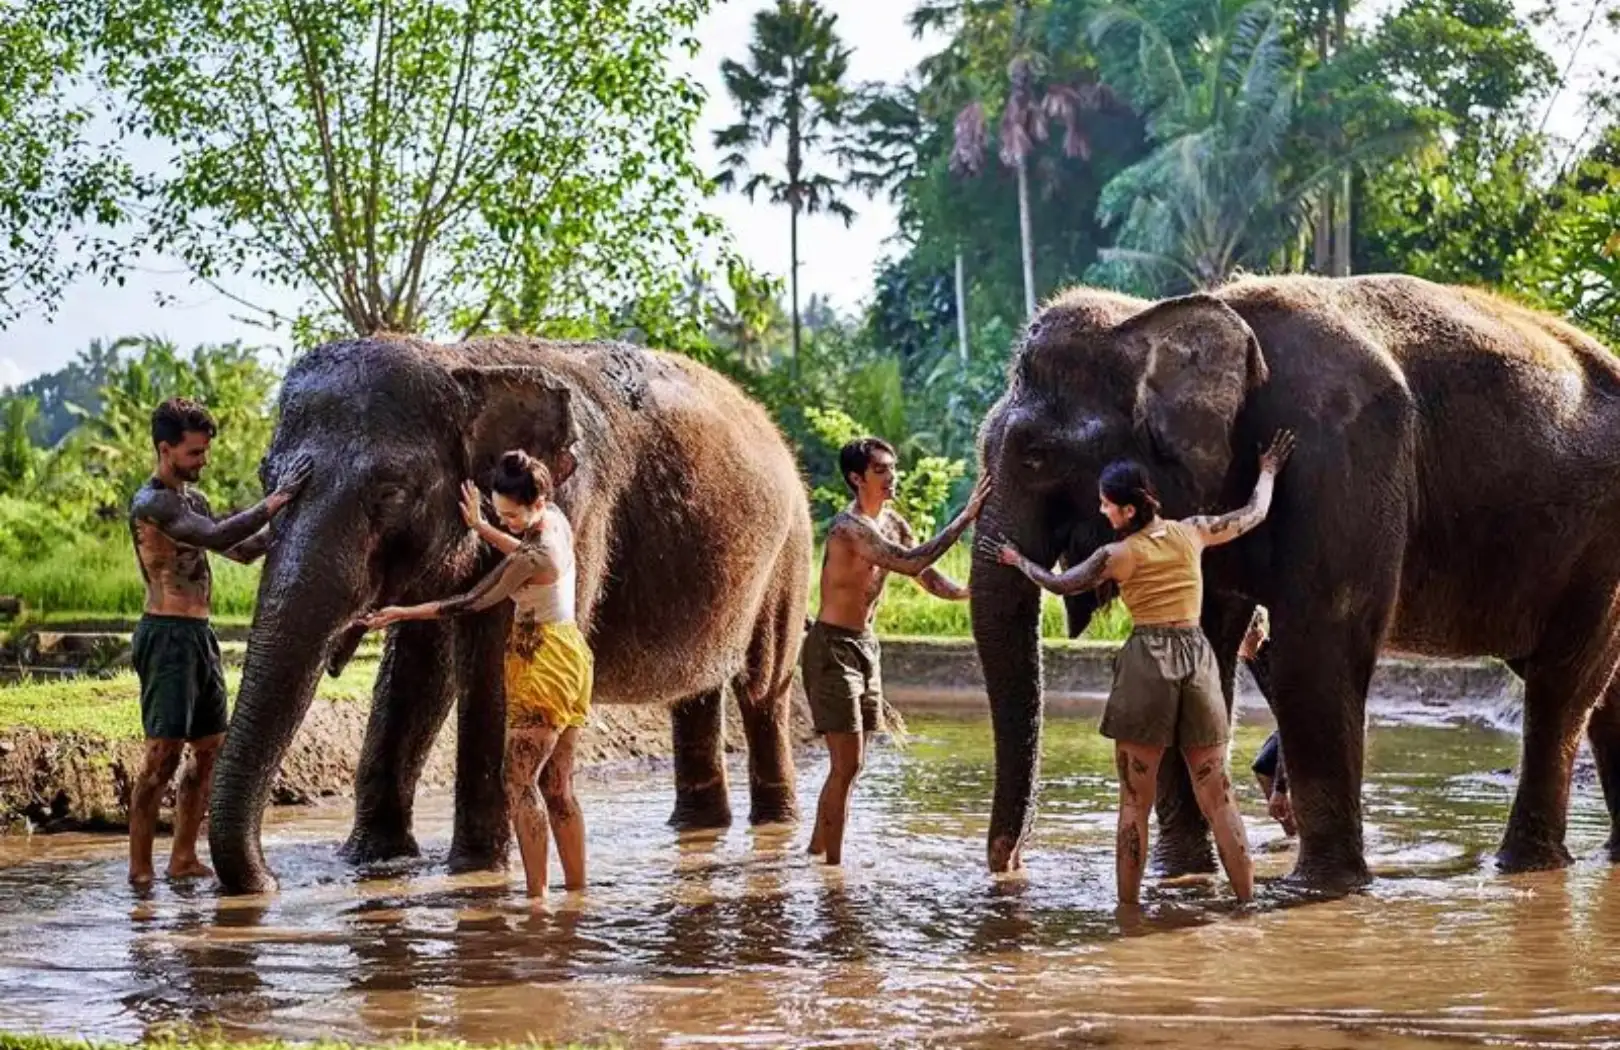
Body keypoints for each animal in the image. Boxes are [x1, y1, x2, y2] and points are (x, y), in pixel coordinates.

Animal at [208, 334, 812, 894]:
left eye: (390, 491)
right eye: (265, 479)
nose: (270, 881)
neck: (464, 364)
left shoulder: (577, 509)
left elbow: (497, 660)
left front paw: (473, 870)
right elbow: (416, 673)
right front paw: (374, 862)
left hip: (791, 550)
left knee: (763, 689)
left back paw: (773, 826)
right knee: (698, 693)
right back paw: (699, 827)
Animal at [970, 273, 1620, 887]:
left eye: (1035, 455)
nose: (1011, 865)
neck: (1160, 315)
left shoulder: (1340, 454)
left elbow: (1318, 643)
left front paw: (1319, 888)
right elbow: (1208, 646)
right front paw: (1181, 876)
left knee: (1560, 687)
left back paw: (1522, 866)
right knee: (1600, 693)